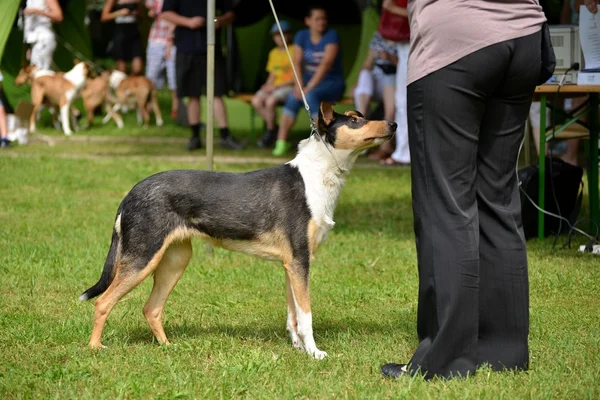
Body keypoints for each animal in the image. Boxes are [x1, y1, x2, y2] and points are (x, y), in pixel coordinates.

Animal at [81, 102, 398, 360]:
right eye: (355, 120)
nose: (394, 124)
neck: (317, 176)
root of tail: (130, 194)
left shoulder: (291, 264)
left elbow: (293, 315)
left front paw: (298, 349)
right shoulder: (301, 261)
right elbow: (306, 315)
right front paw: (315, 353)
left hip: (174, 261)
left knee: (151, 308)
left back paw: (169, 347)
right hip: (142, 258)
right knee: (103, 302)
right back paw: (95, 348)